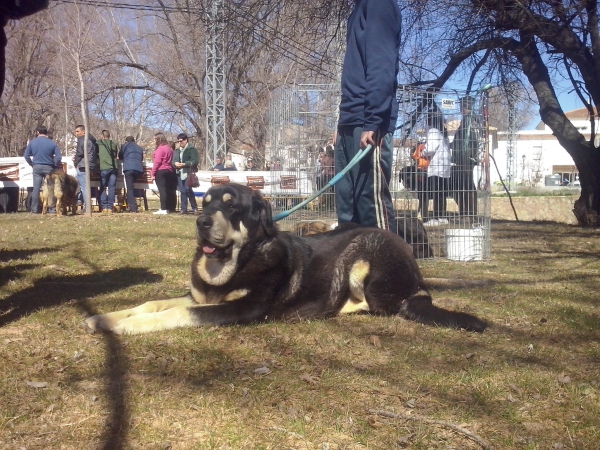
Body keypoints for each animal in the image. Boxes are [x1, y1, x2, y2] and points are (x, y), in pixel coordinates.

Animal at [85, 183, 488, 334]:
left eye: (232, 207)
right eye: (206, 202)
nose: (201, 222)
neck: (235, 261)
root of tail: (418, 277)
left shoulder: (241, 309)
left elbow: (175, 314)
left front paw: (123, 328)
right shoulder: (199, 296)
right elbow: (153, 303)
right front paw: (105, 317)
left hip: (364, 257)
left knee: (383, 305)